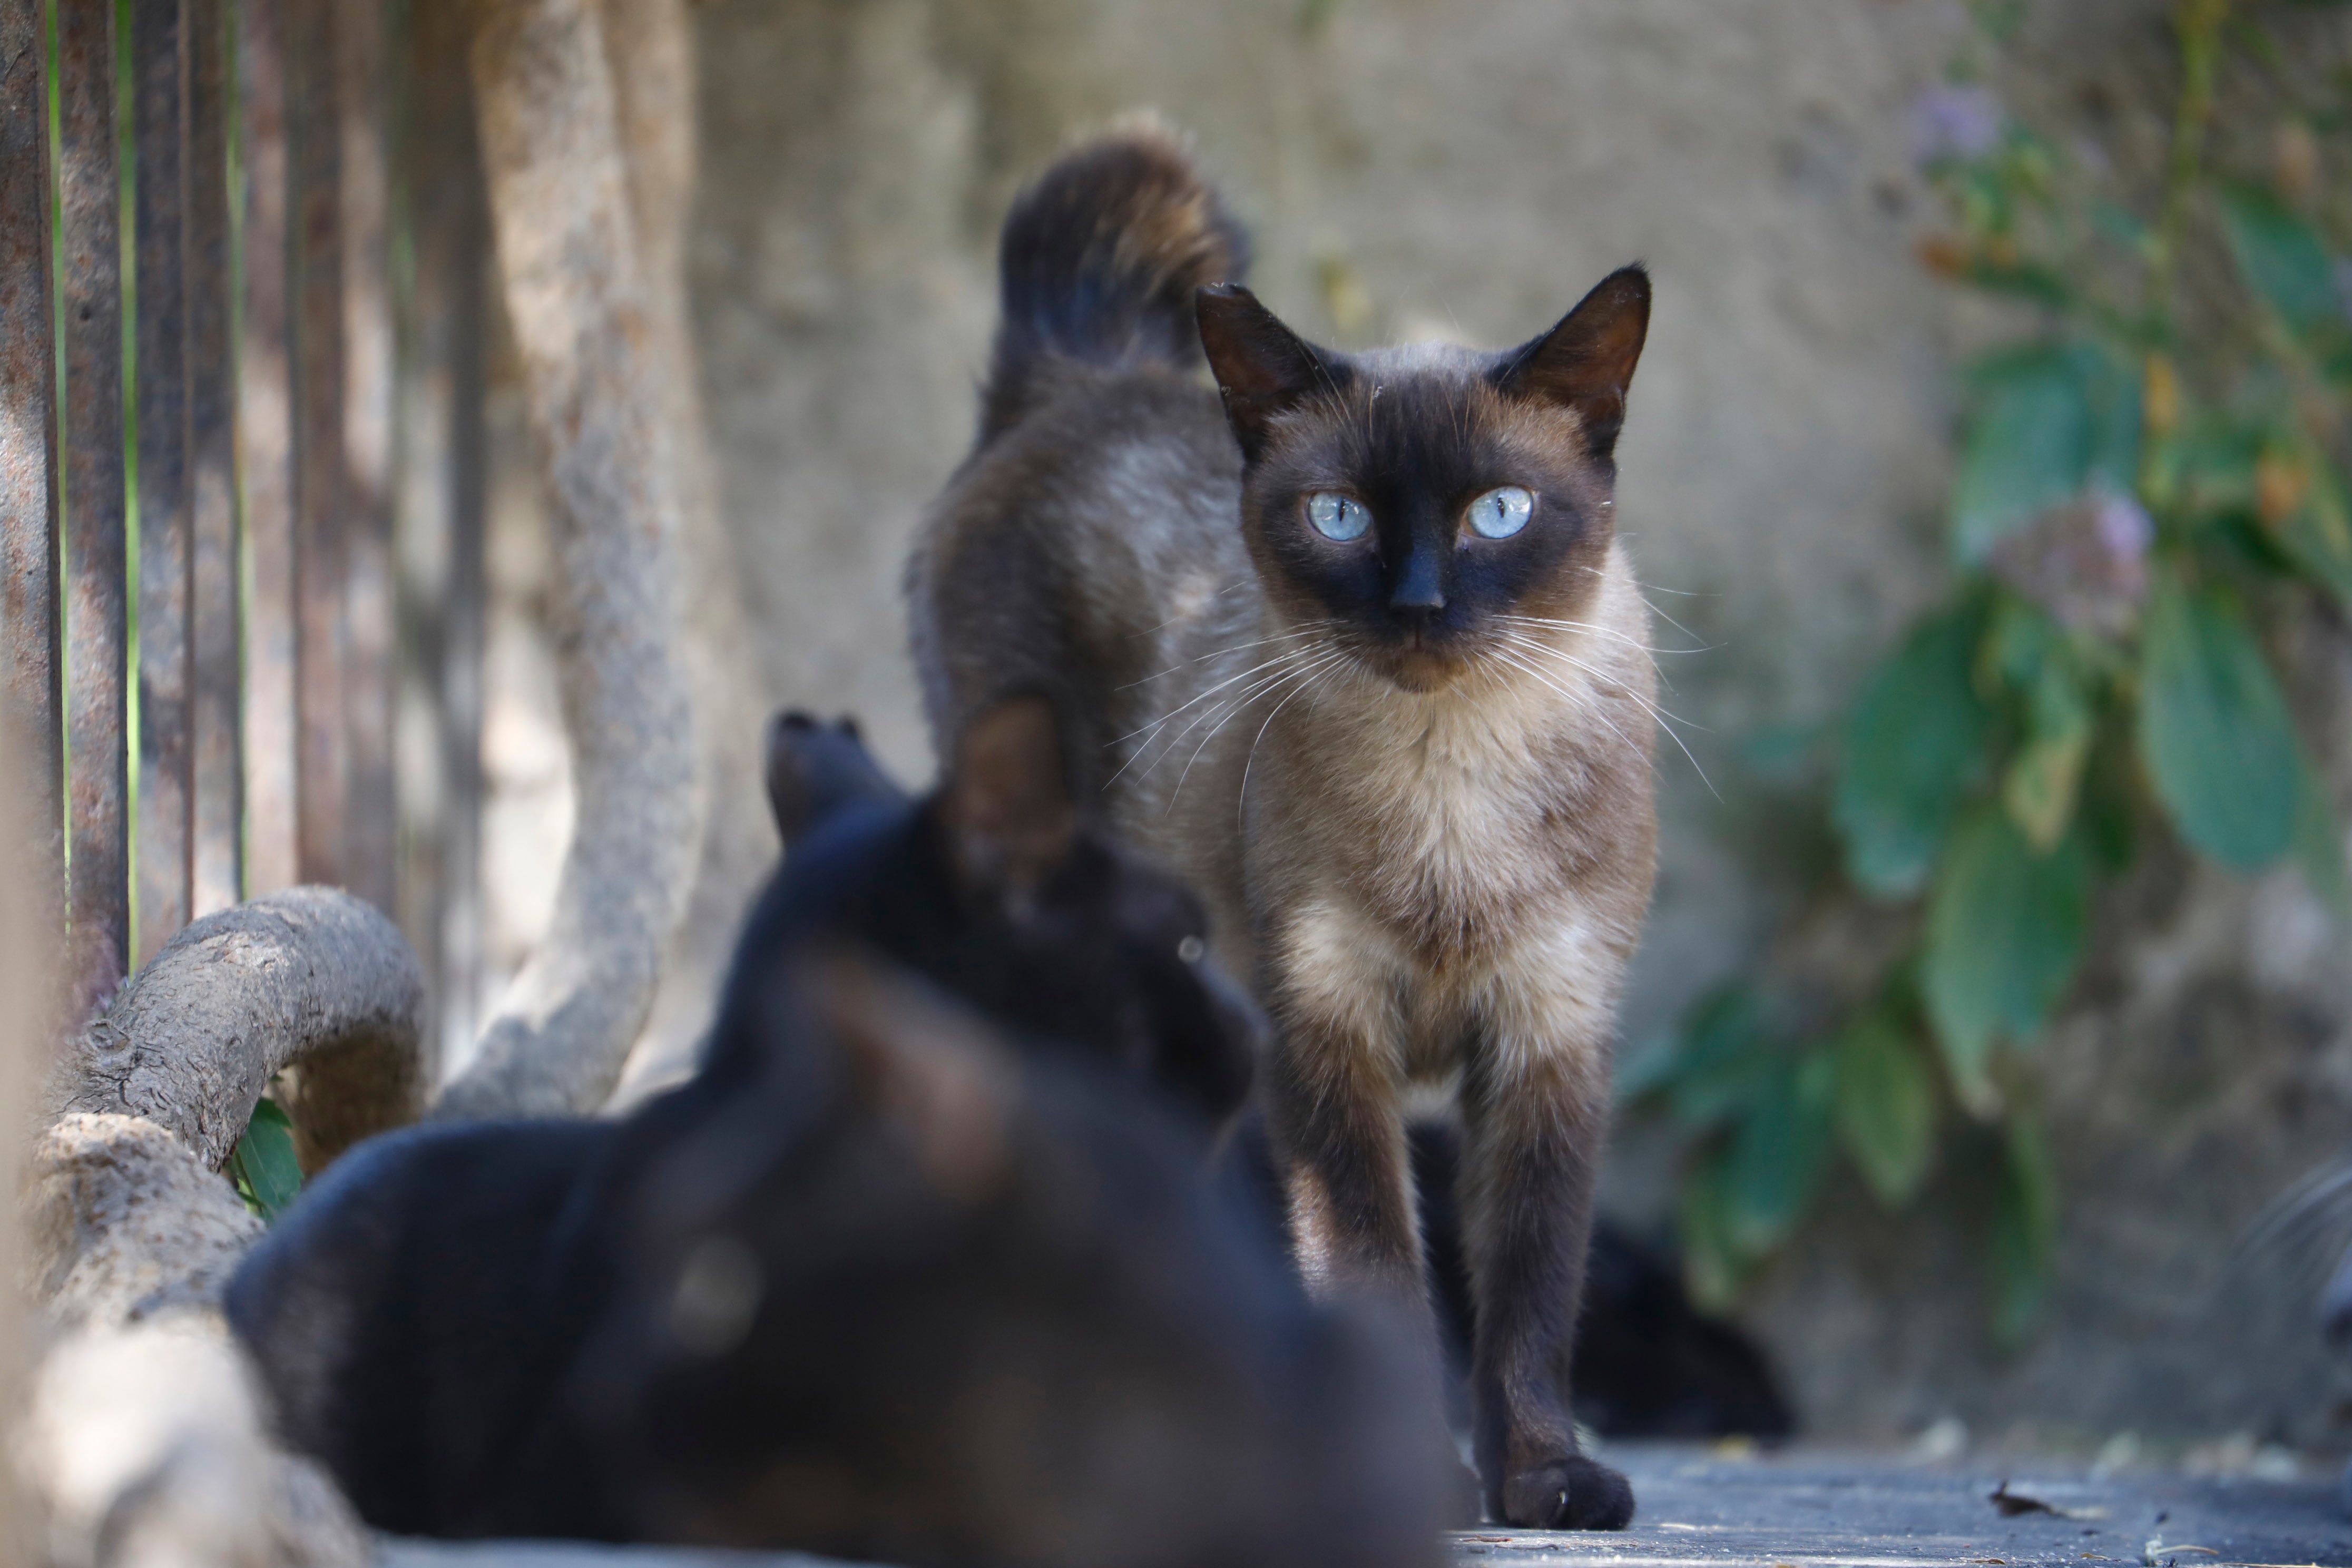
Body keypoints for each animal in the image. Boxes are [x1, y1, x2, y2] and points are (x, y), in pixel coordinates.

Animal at [908, 129, 1665, 1523]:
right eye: (1340, 518)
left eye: (1496, 513)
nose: (1417, 604)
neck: (1448, 786)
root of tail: (1081, 377)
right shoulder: (1327, 1034)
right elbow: (1373, 1271)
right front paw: (1421, 1486)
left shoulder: (1548, 1037)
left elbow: (1531, 1294)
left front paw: (1545, 1481)